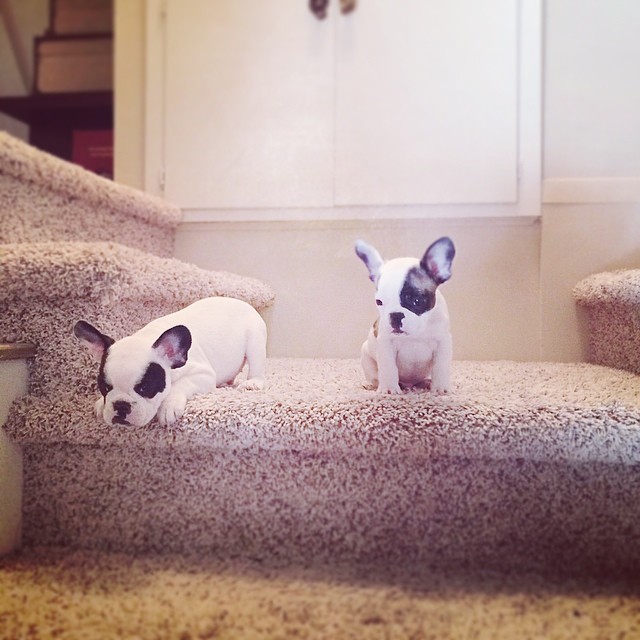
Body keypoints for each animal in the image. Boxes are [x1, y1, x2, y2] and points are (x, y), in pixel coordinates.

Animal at [74, 298, 266, 428]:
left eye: (145, 388)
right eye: (105, 387)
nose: (121, 405)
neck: (148, 337)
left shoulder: (202, 374)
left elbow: (177, 386)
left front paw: (168, 407)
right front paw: (101, 403)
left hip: (255, 340)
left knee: (256, 365)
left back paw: (252, 383)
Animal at [356, 236, 456, 392]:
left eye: (417, 300)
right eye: (379, 302)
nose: (395, 315)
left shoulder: (443, 342)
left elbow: (441, 367)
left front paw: (440, 388)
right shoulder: (386, 343)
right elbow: (388, 367)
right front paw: (389, 389)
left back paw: (426, 383)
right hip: (366, 356)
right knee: (375, 376)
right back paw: (372, 384)